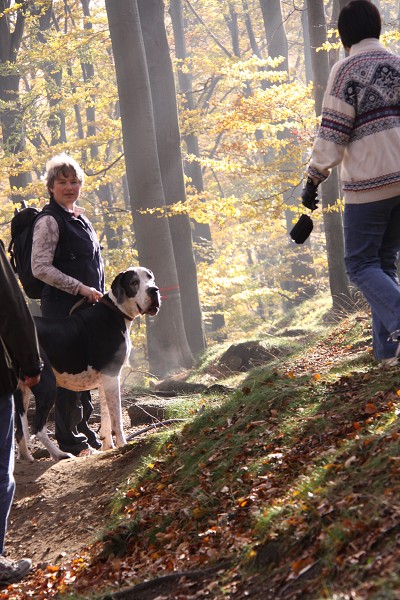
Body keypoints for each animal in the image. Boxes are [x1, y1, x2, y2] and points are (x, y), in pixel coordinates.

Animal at [14, 268, 161, 464]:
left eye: (150, 278)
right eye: (134, 283)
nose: (154, 290)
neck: (116, 311)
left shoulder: (105, 379)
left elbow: (106, 414)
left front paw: (108, 446)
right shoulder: (112, 377)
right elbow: (117, 418)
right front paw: (123, 444)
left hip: (22, 390)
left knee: (20, 430)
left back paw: (26, 457)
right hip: (46, 384)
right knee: (37, 427)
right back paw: (59, 454)